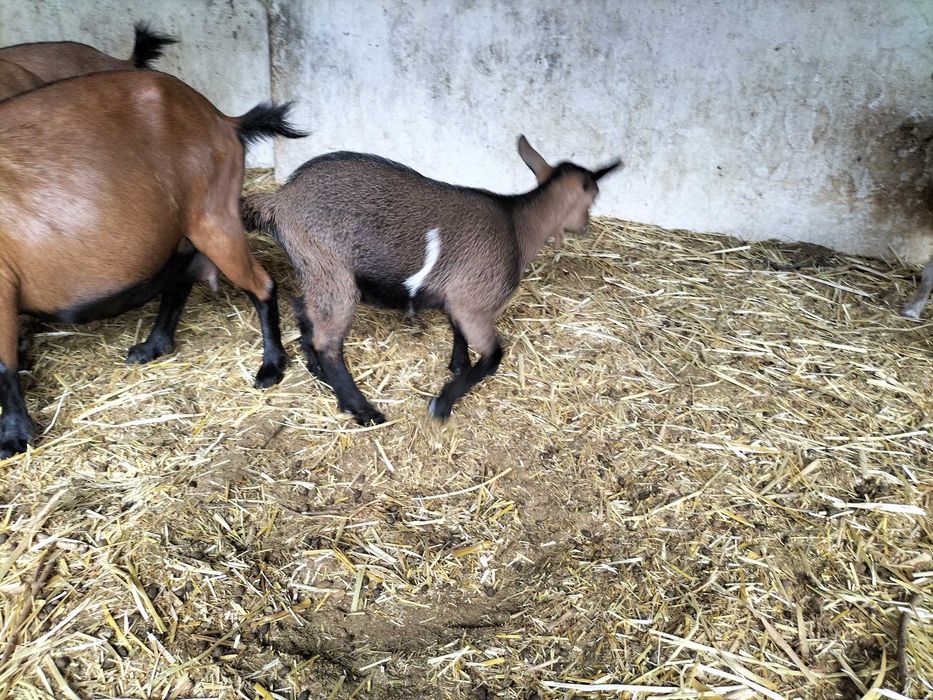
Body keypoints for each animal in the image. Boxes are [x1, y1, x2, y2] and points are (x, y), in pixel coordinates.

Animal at [0, 70, 305, 458]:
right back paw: (153, 345)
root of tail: (221, 119)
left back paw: (271, 367)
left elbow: (3, 365)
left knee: (260, 284)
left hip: (212, 215)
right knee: (181, 276)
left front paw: (13, 436)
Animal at [242, 137, 621, 425]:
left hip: (314, 268)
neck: (517, 226)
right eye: (593, 196)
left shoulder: (458, 298)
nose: (585, 224)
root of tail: (280, 200)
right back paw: (365, 411)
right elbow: (494, 356)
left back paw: (319, 373)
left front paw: (457, 365)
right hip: (329, 267)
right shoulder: (475, 303)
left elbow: (458, 333)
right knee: (328, 341)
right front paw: (443, 403)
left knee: (303, 310)